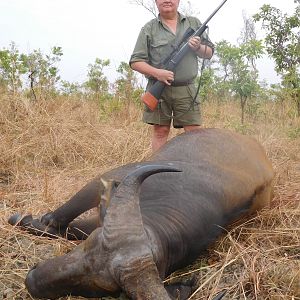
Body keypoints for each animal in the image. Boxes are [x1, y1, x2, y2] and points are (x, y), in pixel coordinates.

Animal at [8, 127, 274, 298]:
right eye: (87, 247)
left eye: (101, 288)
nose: (31, 282)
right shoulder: (106, 181)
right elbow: (62, 219)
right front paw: (26, 219)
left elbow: (65, 229)